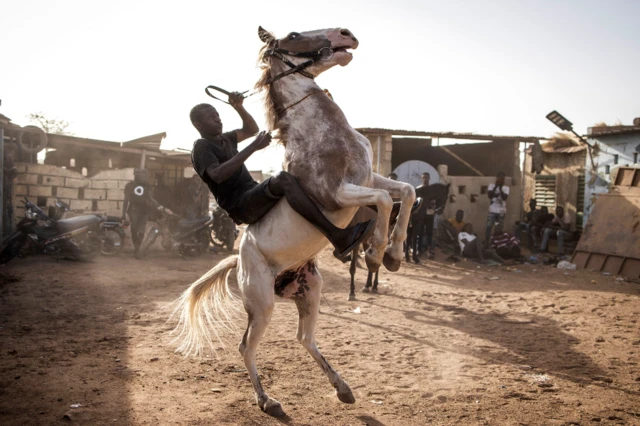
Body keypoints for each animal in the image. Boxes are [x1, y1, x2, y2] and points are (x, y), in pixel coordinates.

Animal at [172, 27, 416, 417]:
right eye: (294, 34)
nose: (347, 35)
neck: (323, 134)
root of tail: (238, 259)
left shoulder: (368, 178)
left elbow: (406, 192)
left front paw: (394, 256)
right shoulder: (335, 194)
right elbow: (381, 201)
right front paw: (376, 253)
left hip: (310, 290)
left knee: (305, 337)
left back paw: (343, 389)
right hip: (261, 306)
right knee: (245, 346)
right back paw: (267, 401)